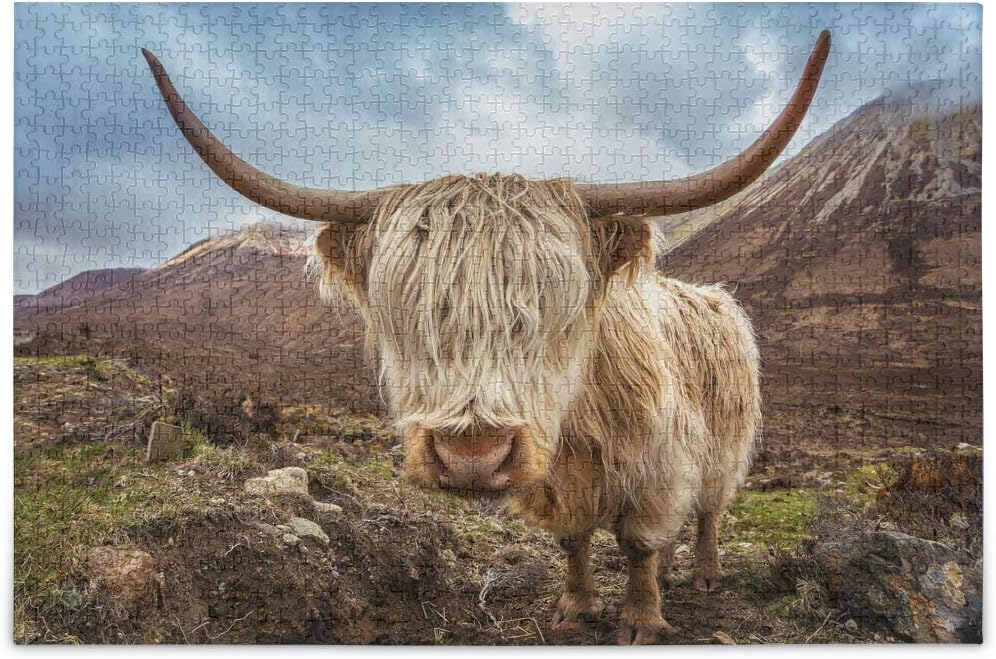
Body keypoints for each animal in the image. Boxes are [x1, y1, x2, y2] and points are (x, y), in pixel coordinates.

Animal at [143, 31, 830, 644]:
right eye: (407, 310)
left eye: (557, 309)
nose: (471, 457)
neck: (577, 428)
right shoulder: (554, 483)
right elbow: (572, 539)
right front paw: (575, 609)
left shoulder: (657, 467)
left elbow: (639, 544)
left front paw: (640, 622)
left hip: (726, 444)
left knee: (711, 508)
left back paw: (708, 574)